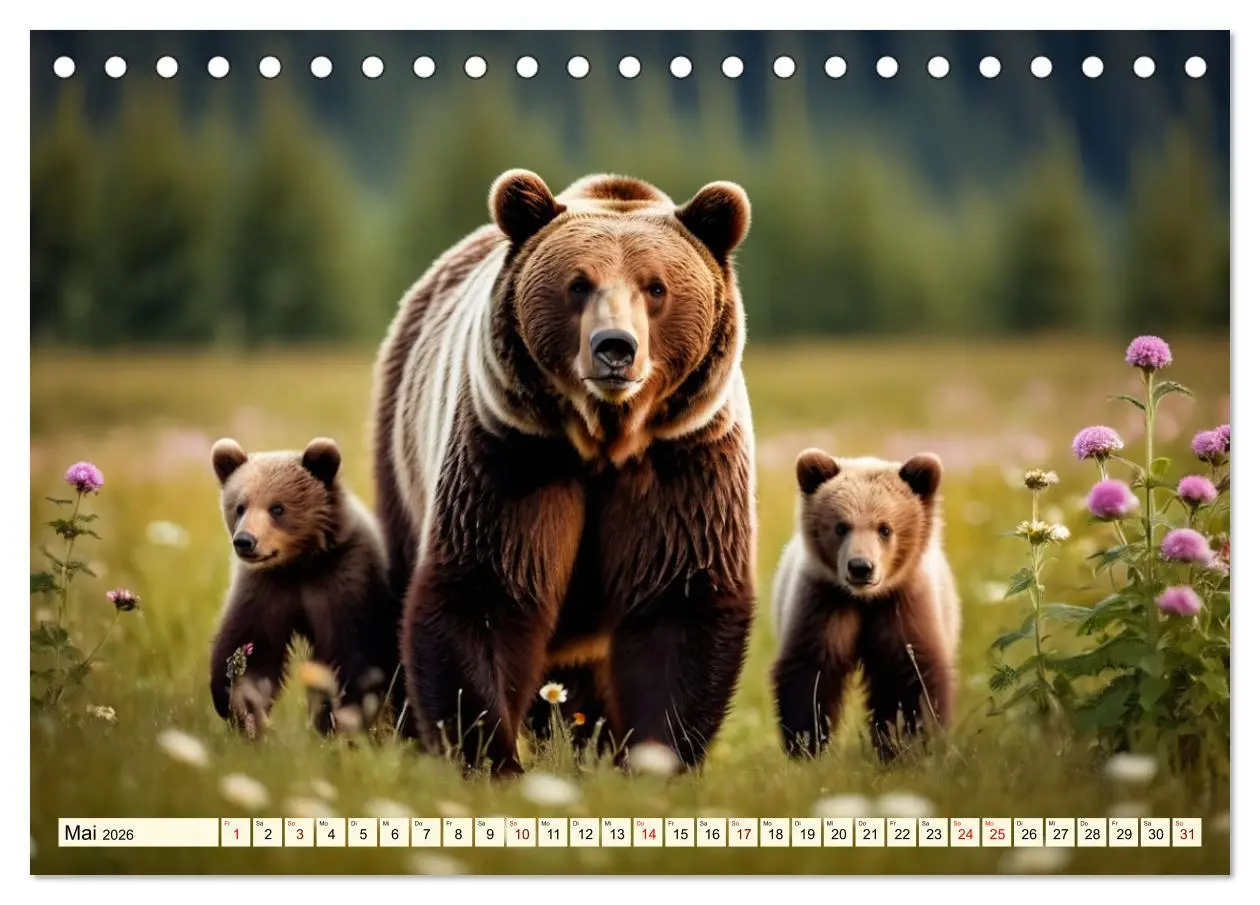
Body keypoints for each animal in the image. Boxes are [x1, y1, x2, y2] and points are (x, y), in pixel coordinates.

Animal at [207, 437, 403, 737]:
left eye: (277, 508)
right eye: (240, 506)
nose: (245, 541)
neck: (299, 564)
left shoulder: (342, 582)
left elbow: (347, 657)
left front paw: (335, 720)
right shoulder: (265, 588)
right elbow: (250, 650)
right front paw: (245, 711)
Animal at [371, 170, 757, 775]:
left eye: (656, 287)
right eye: (578, 284)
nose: (614, 347)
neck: (604, 440)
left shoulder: (685, 462)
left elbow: (677, 601)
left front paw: (652, 758)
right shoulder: (512, 455)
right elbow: (485, 590)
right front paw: (490, 758)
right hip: (401, 449)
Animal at [769, 449, 960, 761]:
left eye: (885, 528)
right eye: (841, 526)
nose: (860, 567)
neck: (865, 600)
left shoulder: (903, 606)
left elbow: (912, 677)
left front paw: (913, 745)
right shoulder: (824, 603)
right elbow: (810, 673)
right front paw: (807, 746)